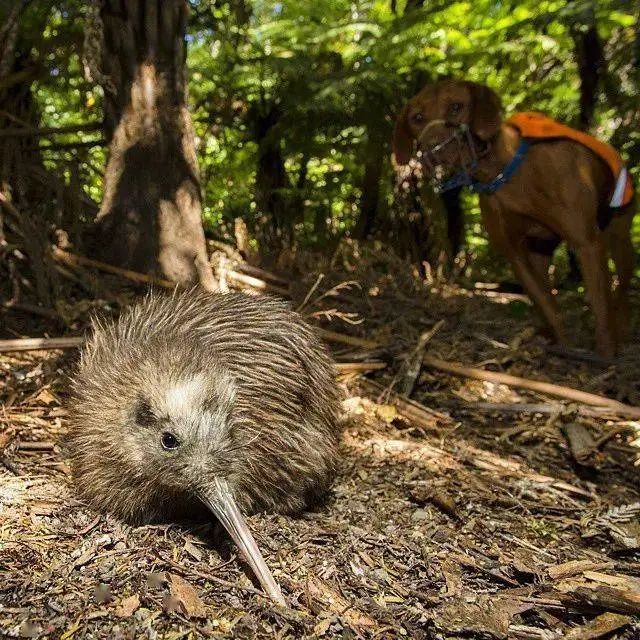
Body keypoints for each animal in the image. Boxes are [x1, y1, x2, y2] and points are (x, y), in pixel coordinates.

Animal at [392, 78, 636, 358]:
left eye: (456, 107)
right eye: (417, 118)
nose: (432, 147)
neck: (506, 173)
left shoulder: (586, 244)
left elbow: (600, 306)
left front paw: (605, 355)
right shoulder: (516, 255)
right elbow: (546, 305)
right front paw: (563, 346)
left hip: (620, 239)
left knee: (621, 289)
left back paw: (622, 330)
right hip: (541, 252)